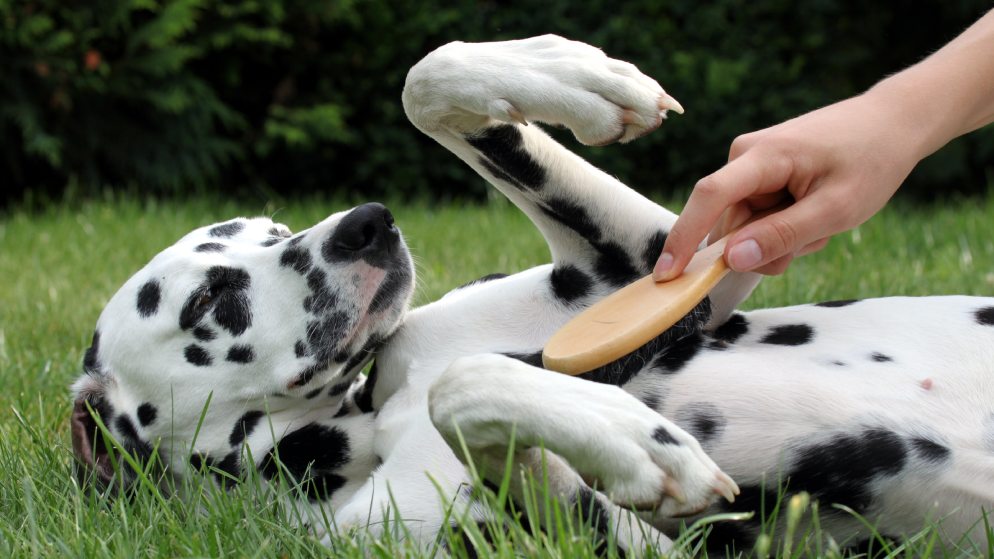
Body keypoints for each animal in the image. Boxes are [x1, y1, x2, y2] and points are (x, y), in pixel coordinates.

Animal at [70, 36, 992, 556]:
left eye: (269, 227)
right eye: (206, 302)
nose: (366, 224)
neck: (362, 422)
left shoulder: (642, 263)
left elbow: (425, 75)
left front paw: (576, 74)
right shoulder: (641, 546)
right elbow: (466, 387)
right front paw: (635, 437)